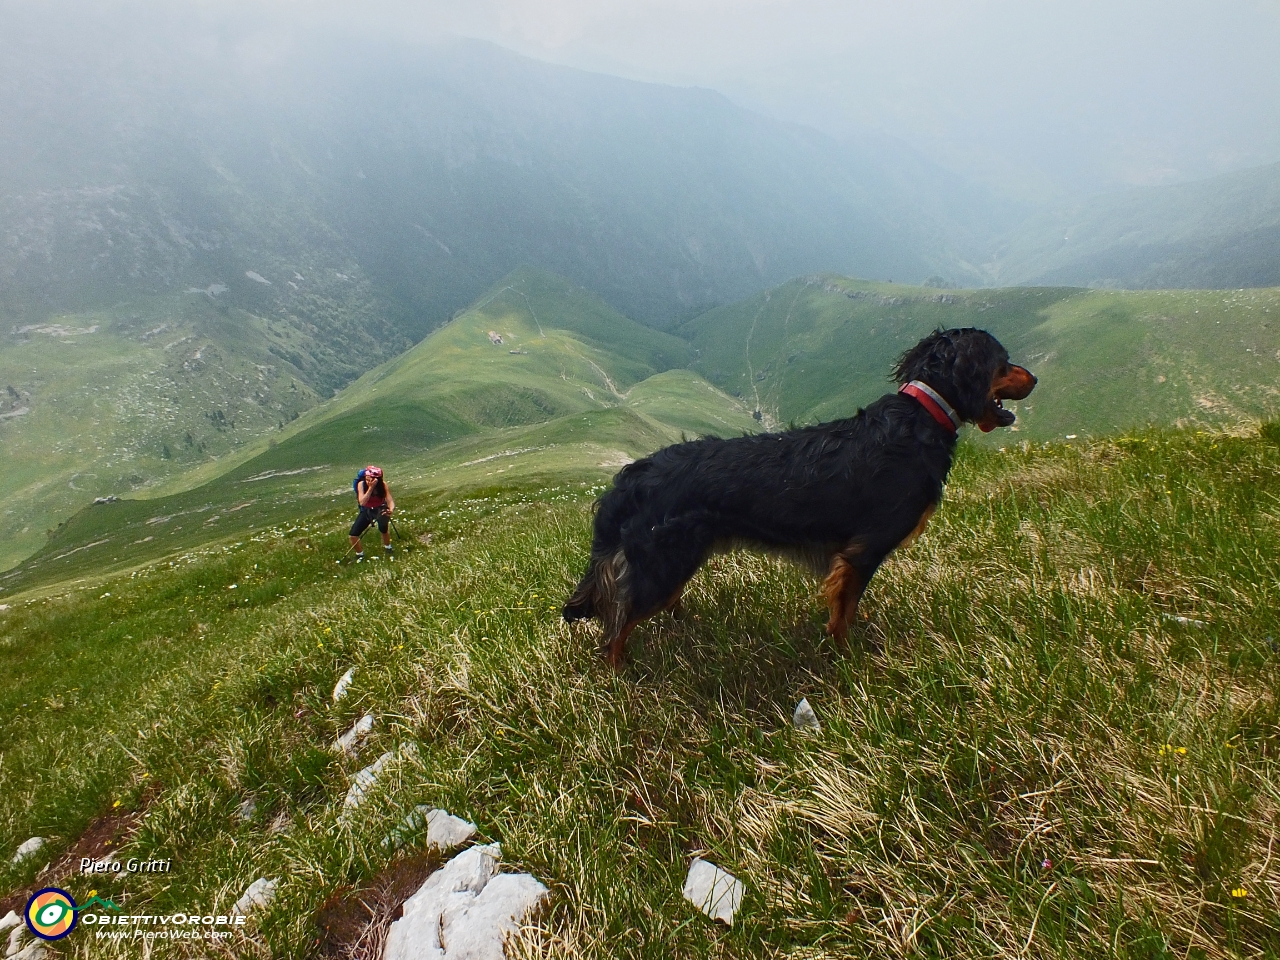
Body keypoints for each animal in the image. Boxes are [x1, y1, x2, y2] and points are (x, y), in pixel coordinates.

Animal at [560, 327, 1029, 665]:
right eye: (1004, 360)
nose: (1035, 377)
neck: (921, 417)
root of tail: (633, 476)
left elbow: (848, 608)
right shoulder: (863, 551)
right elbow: (844, 612)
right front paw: (848, 658)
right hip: (663, 562)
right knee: (616, 627)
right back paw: (621, 675)